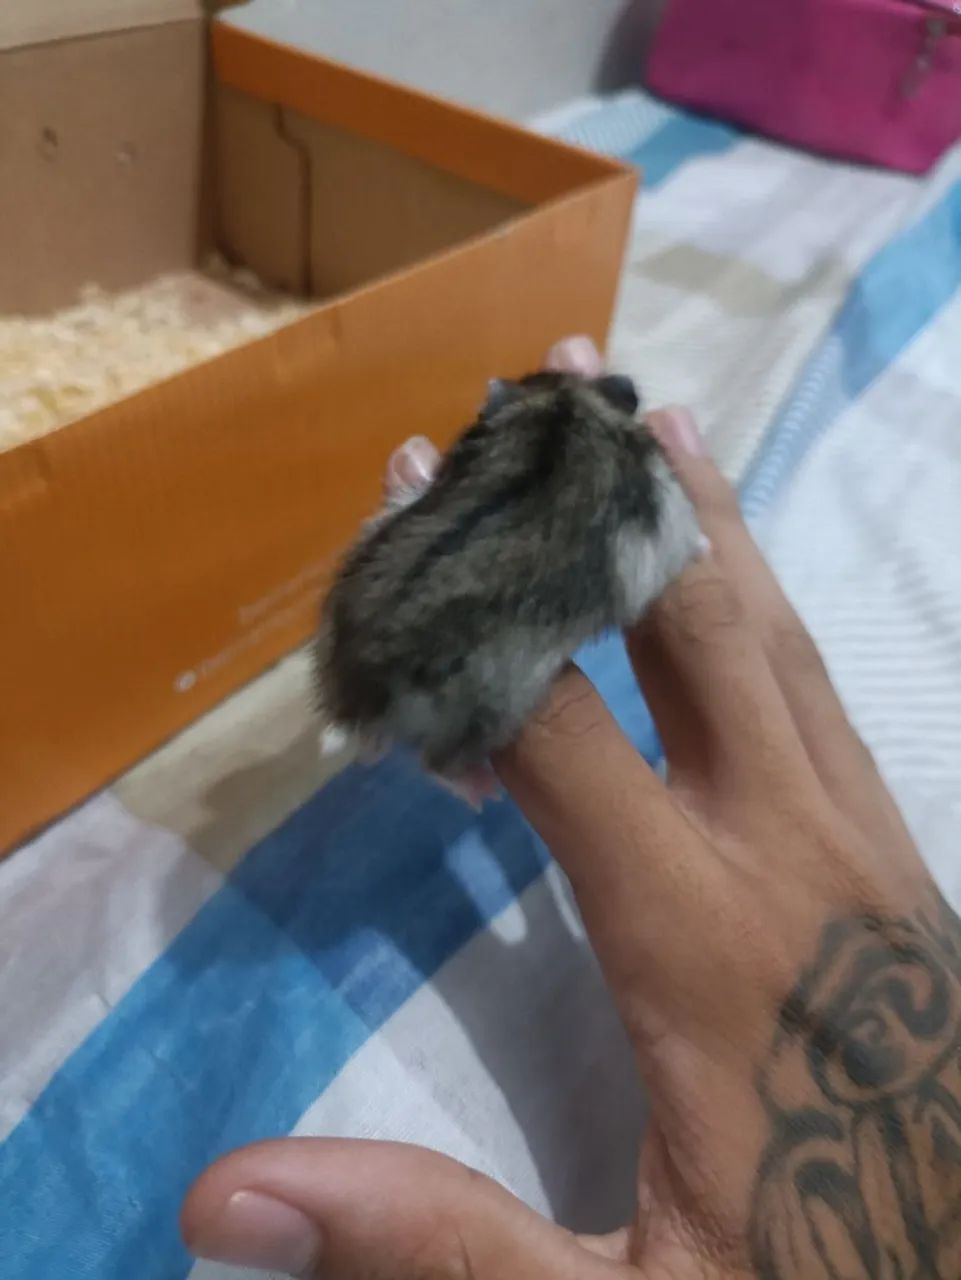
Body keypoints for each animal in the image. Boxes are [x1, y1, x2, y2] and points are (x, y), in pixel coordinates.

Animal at [314, 368, 703, 800]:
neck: (566, 402)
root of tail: (359, 685)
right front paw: (707, 547)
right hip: (484, 717)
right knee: (438, 767)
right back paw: (485, 792)